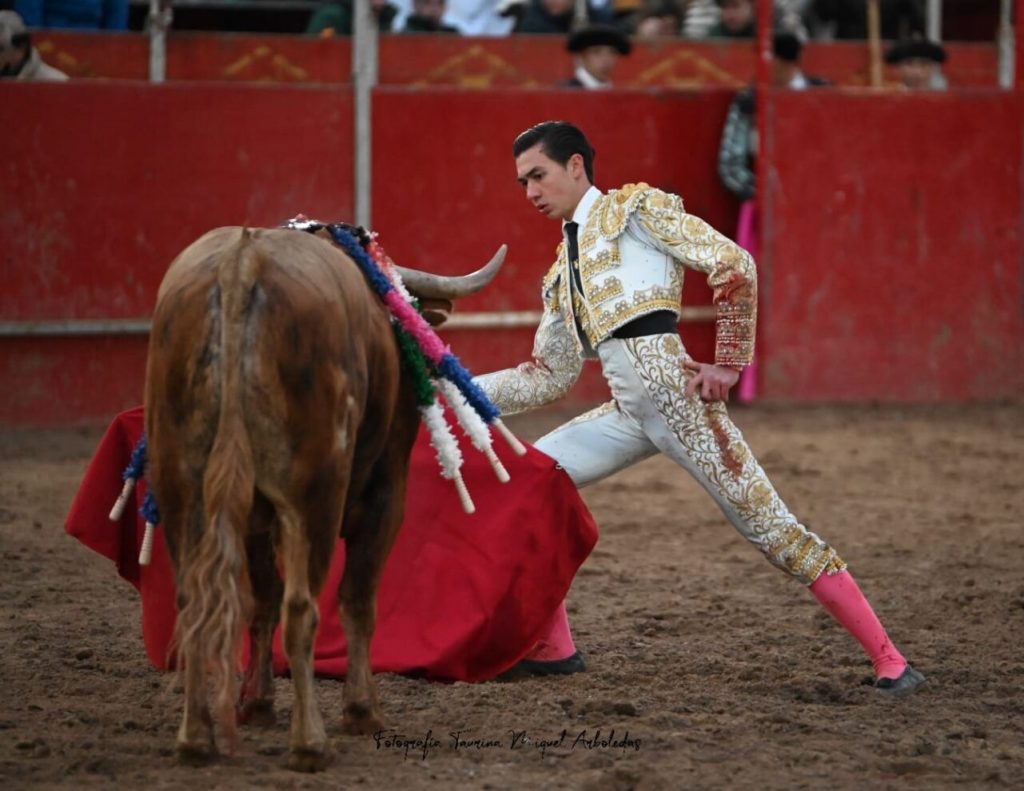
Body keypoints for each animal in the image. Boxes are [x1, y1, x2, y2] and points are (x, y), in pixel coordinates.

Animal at [146, 225, 505, 770]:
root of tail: (242, 261)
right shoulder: (384, 496)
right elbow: (357, 600)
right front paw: (362, 711)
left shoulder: (254, 519)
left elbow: (262, 602)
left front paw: (257, 704)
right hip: (314, 492)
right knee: (302, 608)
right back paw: (310, 742)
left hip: (180, 489)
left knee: (194, 602)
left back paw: (194, 738)